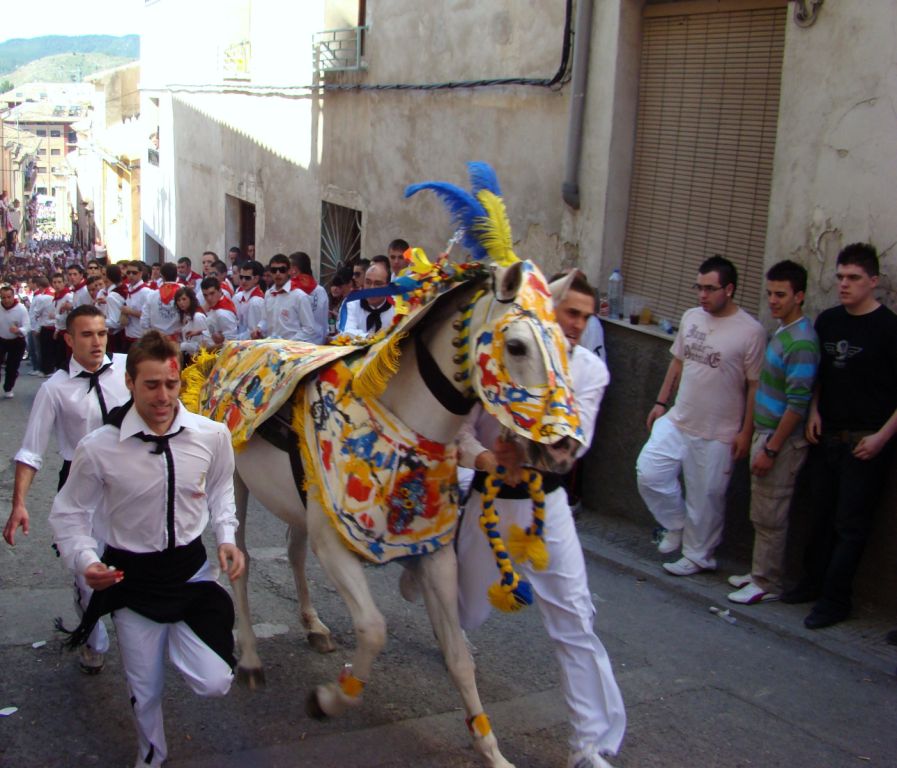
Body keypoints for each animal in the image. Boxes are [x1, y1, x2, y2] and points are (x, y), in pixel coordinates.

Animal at [217, 260, 580, 764]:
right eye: (517, 345)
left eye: (566, 344)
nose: (564, 447)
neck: (399, 421)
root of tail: (233, 345)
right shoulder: (338, 547)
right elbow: (373, 629)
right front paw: (329, 699)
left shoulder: (434, 554)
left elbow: (458, 656)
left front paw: (490, 748)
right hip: (237, 484)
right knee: (242, 563)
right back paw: (250, 657)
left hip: (297, 502)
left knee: (293, 552)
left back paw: (313, 624)